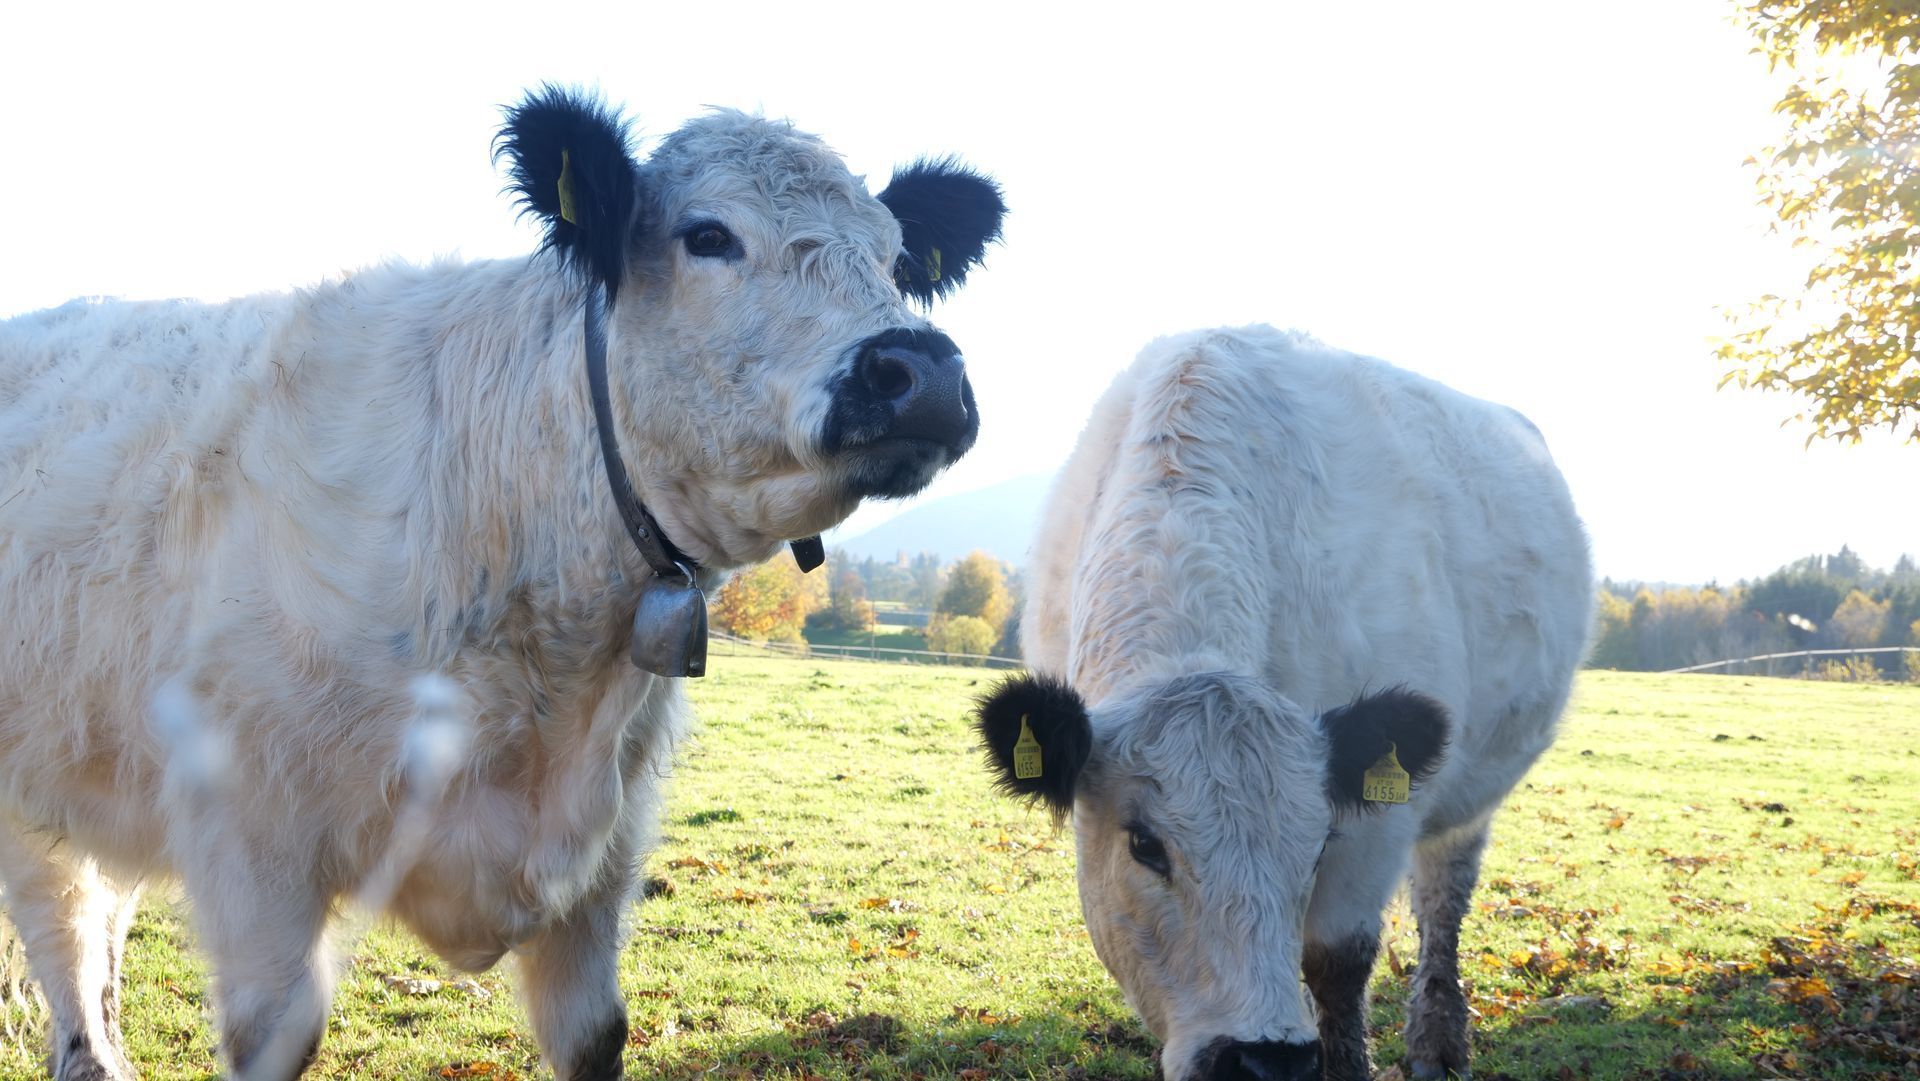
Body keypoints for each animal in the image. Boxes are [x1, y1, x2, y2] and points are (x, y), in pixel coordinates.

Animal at [0, 87, 1003, 1081]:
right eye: (708, 234)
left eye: (895, 257)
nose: (923, 371)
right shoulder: (256, 840)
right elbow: (274, 1032)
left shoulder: (604, 851)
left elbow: (595, 1030)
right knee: (66, 929)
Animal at [973, 326, 1590, 1081]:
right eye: (1144, 844)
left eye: (1317, 842)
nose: (1263, 1060)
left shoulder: (1380, 821)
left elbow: (1337, 962)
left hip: (1470, 799)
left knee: (1444, 897)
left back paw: (1437, 1043)